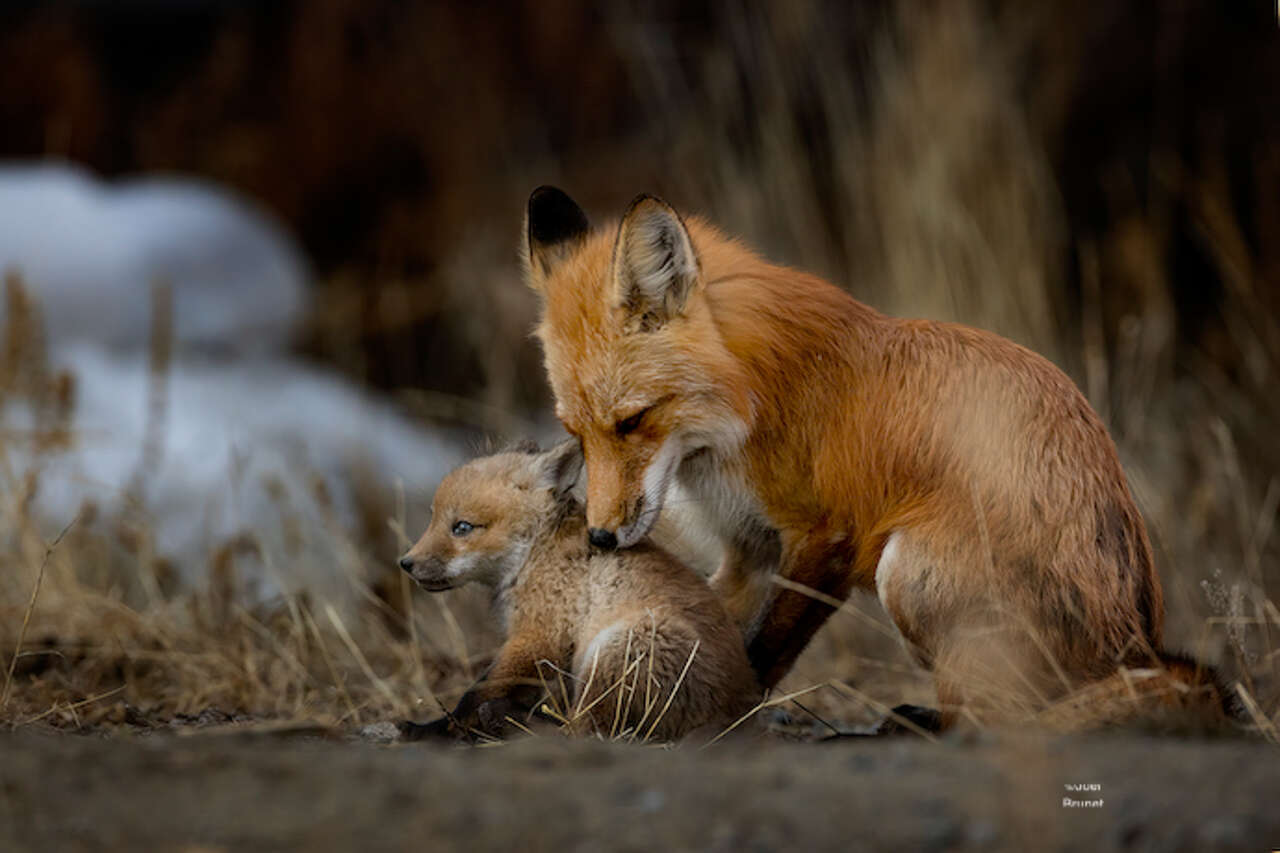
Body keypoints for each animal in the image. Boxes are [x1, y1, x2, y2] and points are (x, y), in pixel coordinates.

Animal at [517, 184, 1228, 722]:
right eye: (576, 433)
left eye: (632, 421)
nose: (602, 537)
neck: (748, 402)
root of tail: (1135, 645)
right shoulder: (749, 549)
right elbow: (711, 627)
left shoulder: (826, 538)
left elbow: (762, 650)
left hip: (906, 569)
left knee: (992, 722)